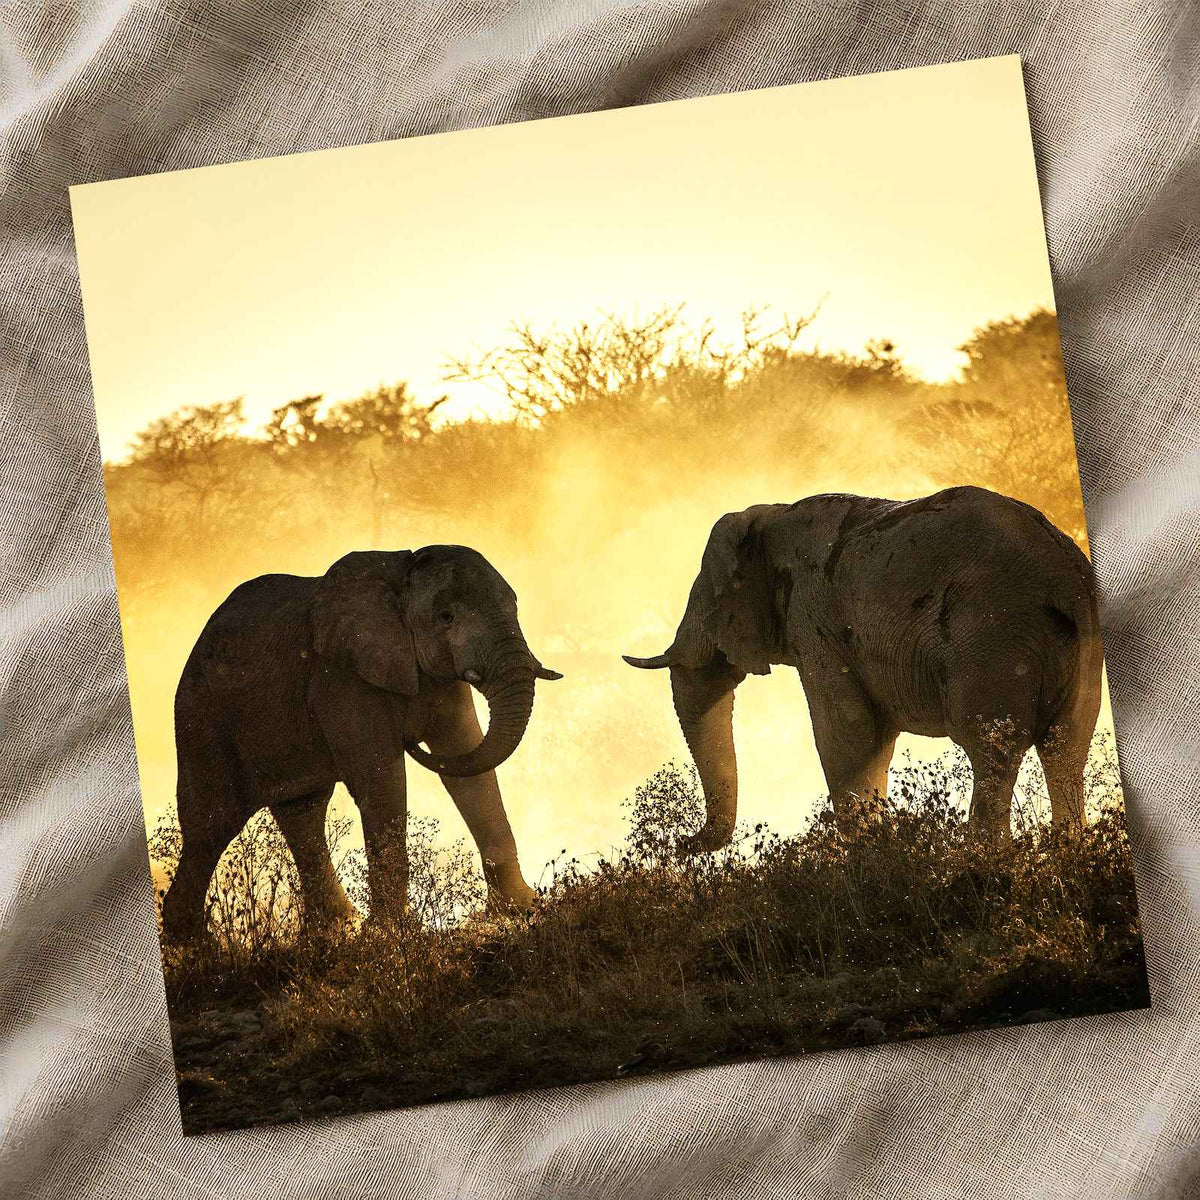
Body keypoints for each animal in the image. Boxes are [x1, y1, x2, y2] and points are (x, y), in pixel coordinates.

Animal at [160, 545, 561, 944]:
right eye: (446, 617)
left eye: (514, 608)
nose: (411, 741)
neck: (400, 572)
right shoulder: (339, 677)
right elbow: (384, 780)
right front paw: (394, 935)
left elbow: (467, 763)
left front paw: (523, 910)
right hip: (201, 722)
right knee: (212, 825)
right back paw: (195, 949)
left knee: (301, 814)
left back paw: (336, 932)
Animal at [624, 486, 1102, 849]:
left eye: (708, 599)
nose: (680, 841)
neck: (773, 514)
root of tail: (1064, 576)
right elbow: (872, 737)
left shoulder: (814, 615)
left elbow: (846, 733)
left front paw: (866, 859)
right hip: (1080, 645)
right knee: (1066, 746)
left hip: (991, 636)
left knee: (990, 743)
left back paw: (984, 861)